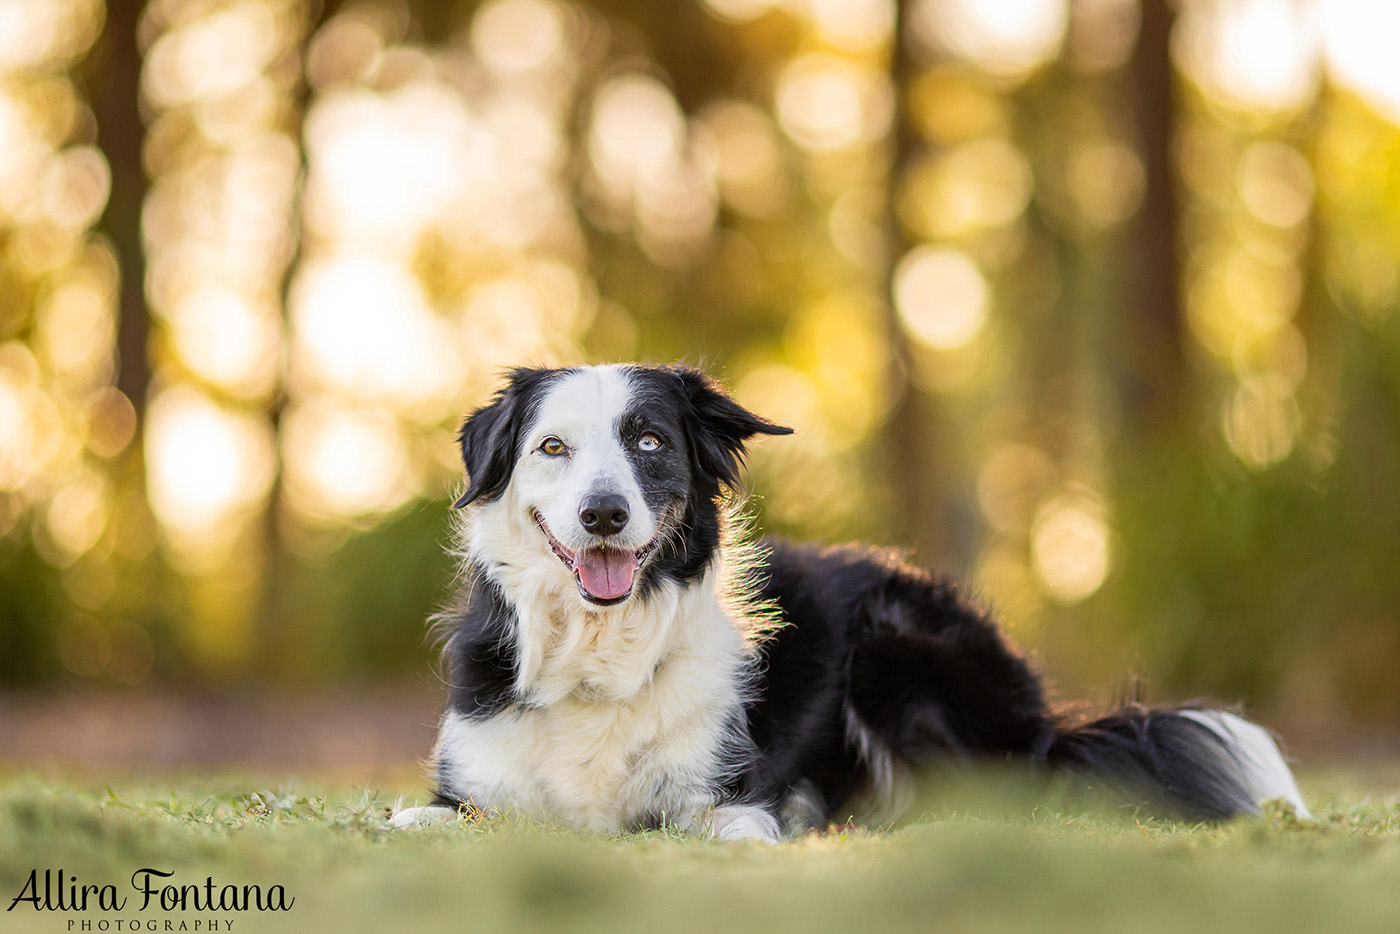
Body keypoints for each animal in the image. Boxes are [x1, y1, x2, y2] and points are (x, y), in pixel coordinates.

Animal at [389, 364, 1304, 840]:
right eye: (552, 448)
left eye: (649, 441)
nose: (604, 514)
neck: (597, 651)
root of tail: (1044, 723)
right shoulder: (466, 795)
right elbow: (416, 820)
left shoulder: (724, 801)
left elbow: (731, 824)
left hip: (897, 644)